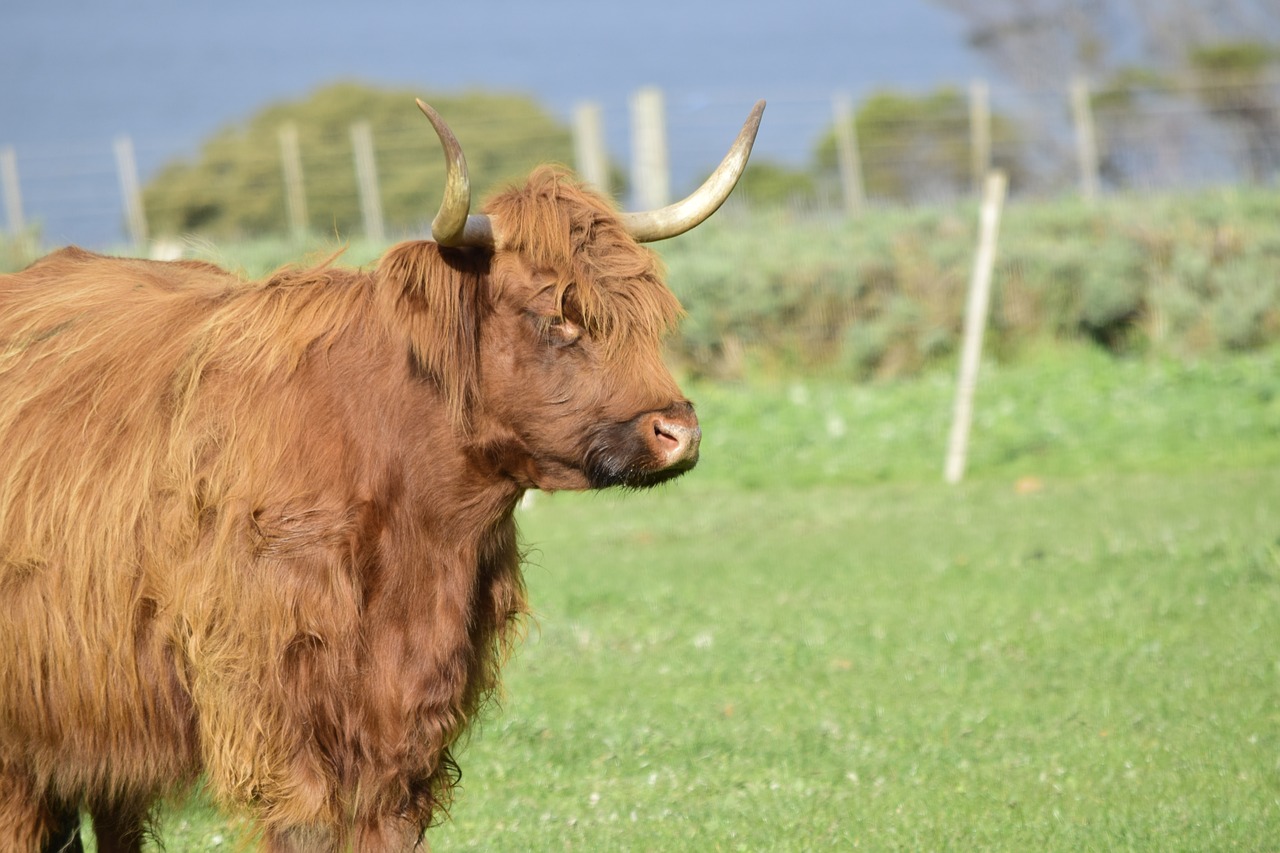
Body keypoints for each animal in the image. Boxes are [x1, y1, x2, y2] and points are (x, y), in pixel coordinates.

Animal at [0, 96, 757, 845]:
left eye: (648, 315)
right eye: (555, 315)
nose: (680, 433)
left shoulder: (414, 708)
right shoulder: (273, 694)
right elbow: (305, 821)